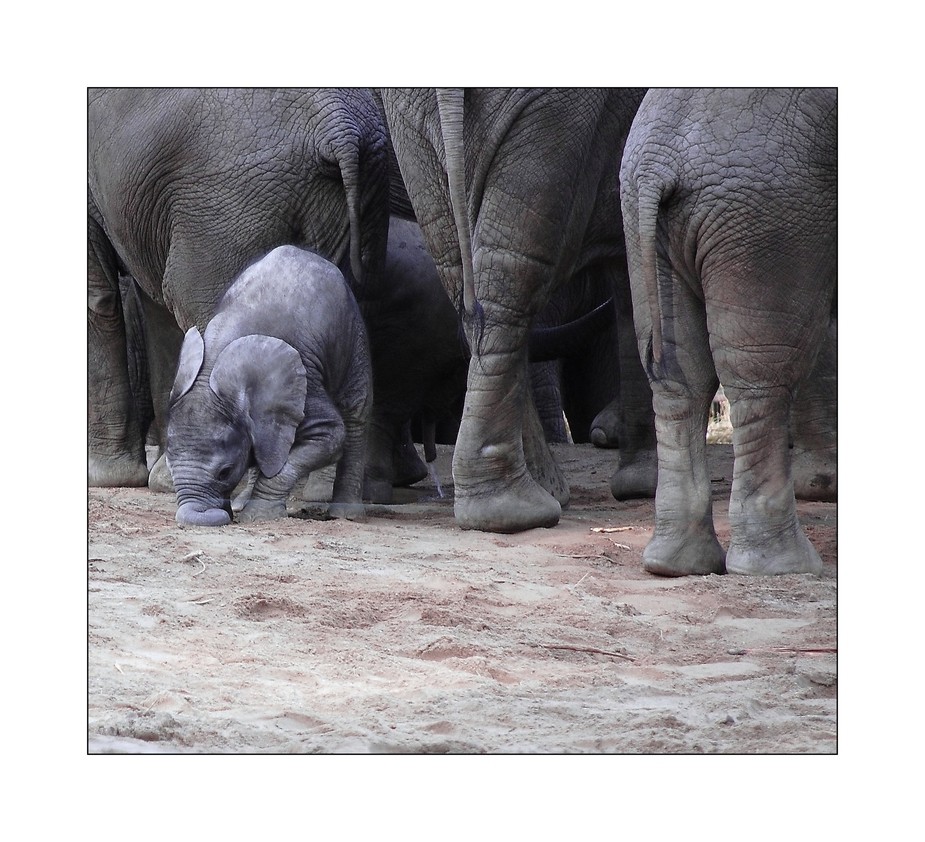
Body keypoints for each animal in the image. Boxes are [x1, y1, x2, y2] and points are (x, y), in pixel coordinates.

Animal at [88, 87, 388, 486]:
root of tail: (340, 126)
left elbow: (100, 298)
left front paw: (111, 477)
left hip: (230, 205)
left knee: (197, 305)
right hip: (360, 199)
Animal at [166, 241, 372, 524]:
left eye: (225, 472)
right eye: (169, 465)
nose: (212, 515)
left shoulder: (305, 380)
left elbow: (330, 435)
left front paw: (258, 515)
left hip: (352, 330)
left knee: (356, 409)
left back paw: (346, 514)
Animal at [620, 88, 836, 576]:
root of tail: (657, 163)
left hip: (649, 223)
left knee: (679, 379)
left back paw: (673, 564)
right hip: (769, 218)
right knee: (763, 372)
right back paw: (781, 566)